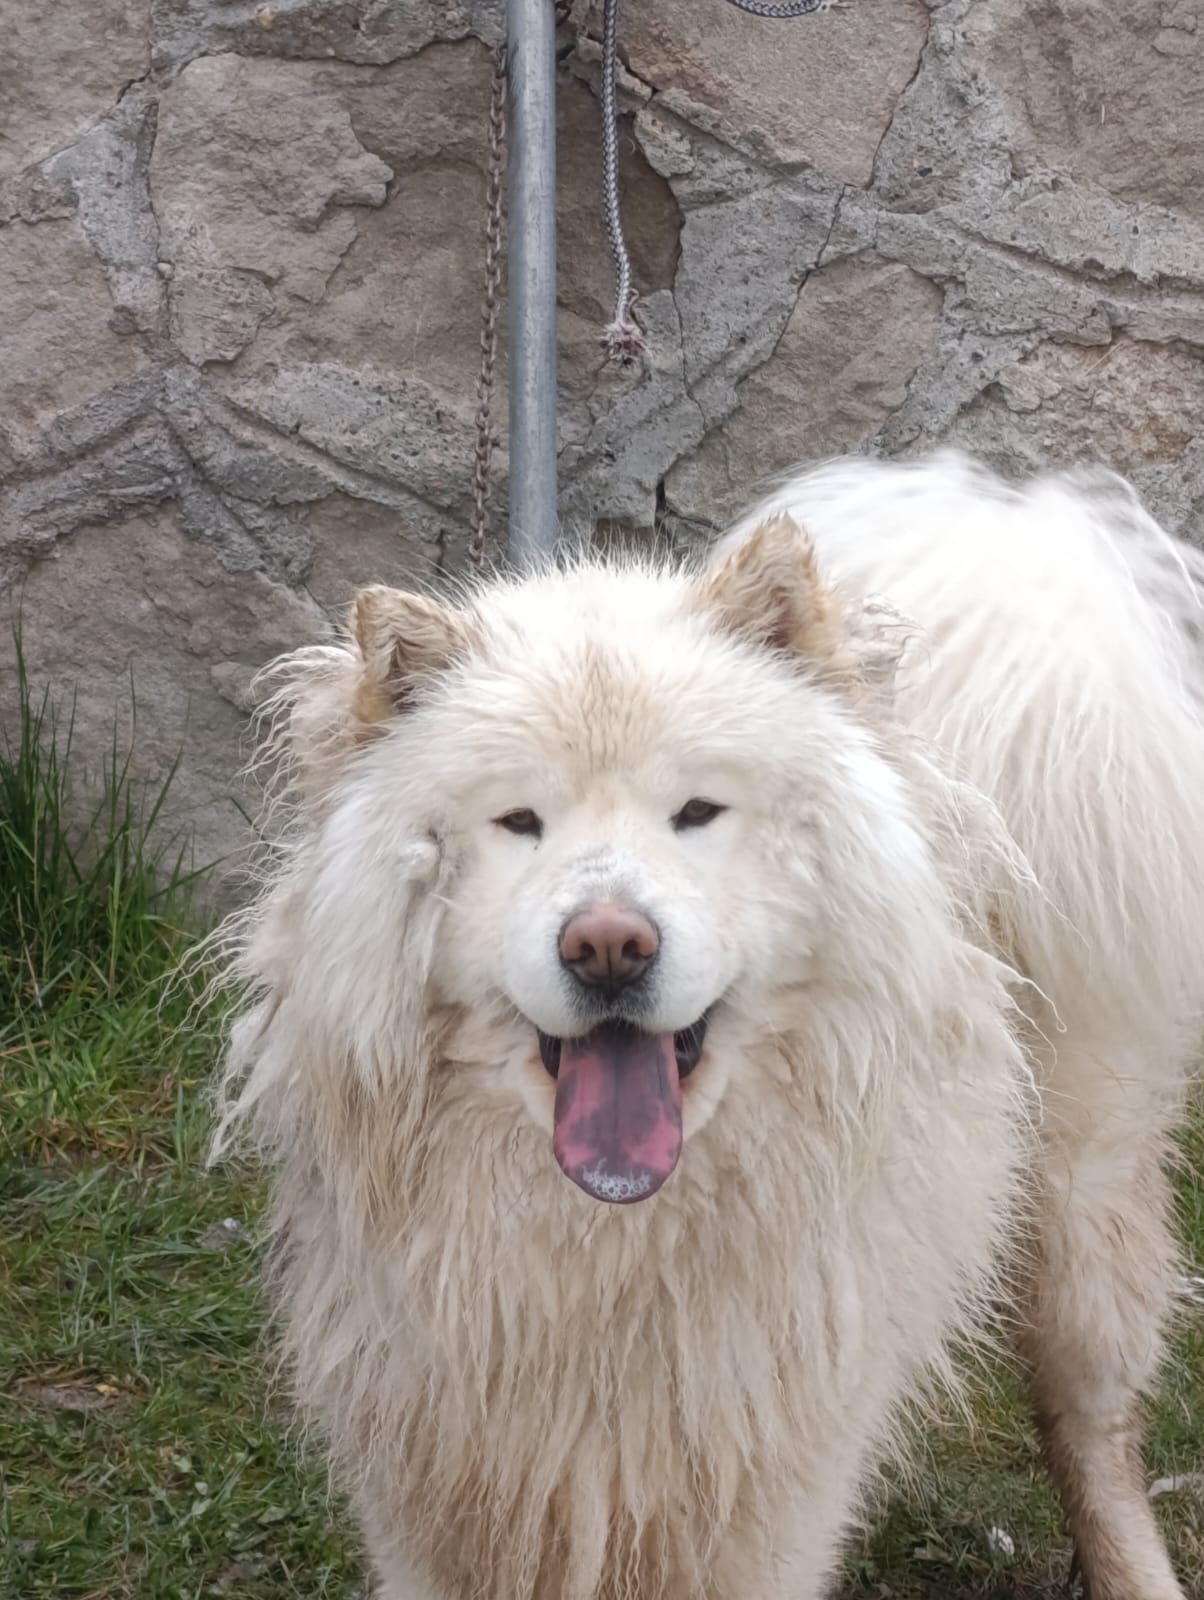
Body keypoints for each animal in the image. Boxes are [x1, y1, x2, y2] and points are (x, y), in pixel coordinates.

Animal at [216, 454, 1204, 1600]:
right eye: (520, 822)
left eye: (695, 812)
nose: (607, 945)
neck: (606, 1256)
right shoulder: (438, 1484)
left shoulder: (765, 1490)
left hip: (1080, 1204)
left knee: (1092, 1426)